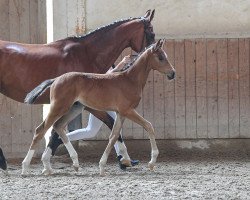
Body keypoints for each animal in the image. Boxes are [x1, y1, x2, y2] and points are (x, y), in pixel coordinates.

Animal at [23, 38, 176, 175]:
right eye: (161, 57)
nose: (173, 73)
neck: (129, 80)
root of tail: (56, 79)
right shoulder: (128, 110)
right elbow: (148, 126)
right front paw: (151, 163)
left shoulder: (120, 113)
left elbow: (114, 136)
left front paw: (104, 166)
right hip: (59, 107)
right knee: (40, 130)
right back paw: (26, 167)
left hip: (73, 109)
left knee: (58, 127)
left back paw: (67, 165)